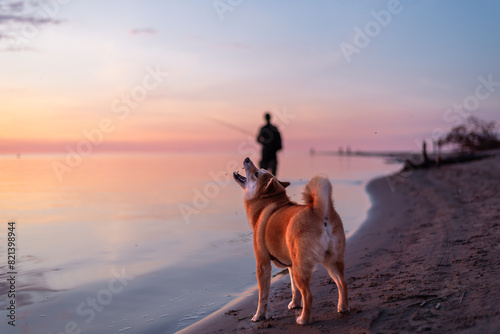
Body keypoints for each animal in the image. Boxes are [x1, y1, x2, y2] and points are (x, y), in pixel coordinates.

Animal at [233, 158, 348, 324]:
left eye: (257, 174)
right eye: (260, 169)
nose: (247, 159)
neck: (265, 205)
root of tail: (319, 211)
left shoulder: (262, 263)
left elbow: (263, 296)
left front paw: (258, 316)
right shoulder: (290, 265)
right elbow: (294, 289)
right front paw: (294, 304)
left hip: (303, 267)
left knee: (309, 295)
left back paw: (303, 319)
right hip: (331, 262)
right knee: (342, 283)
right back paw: (343, 307)